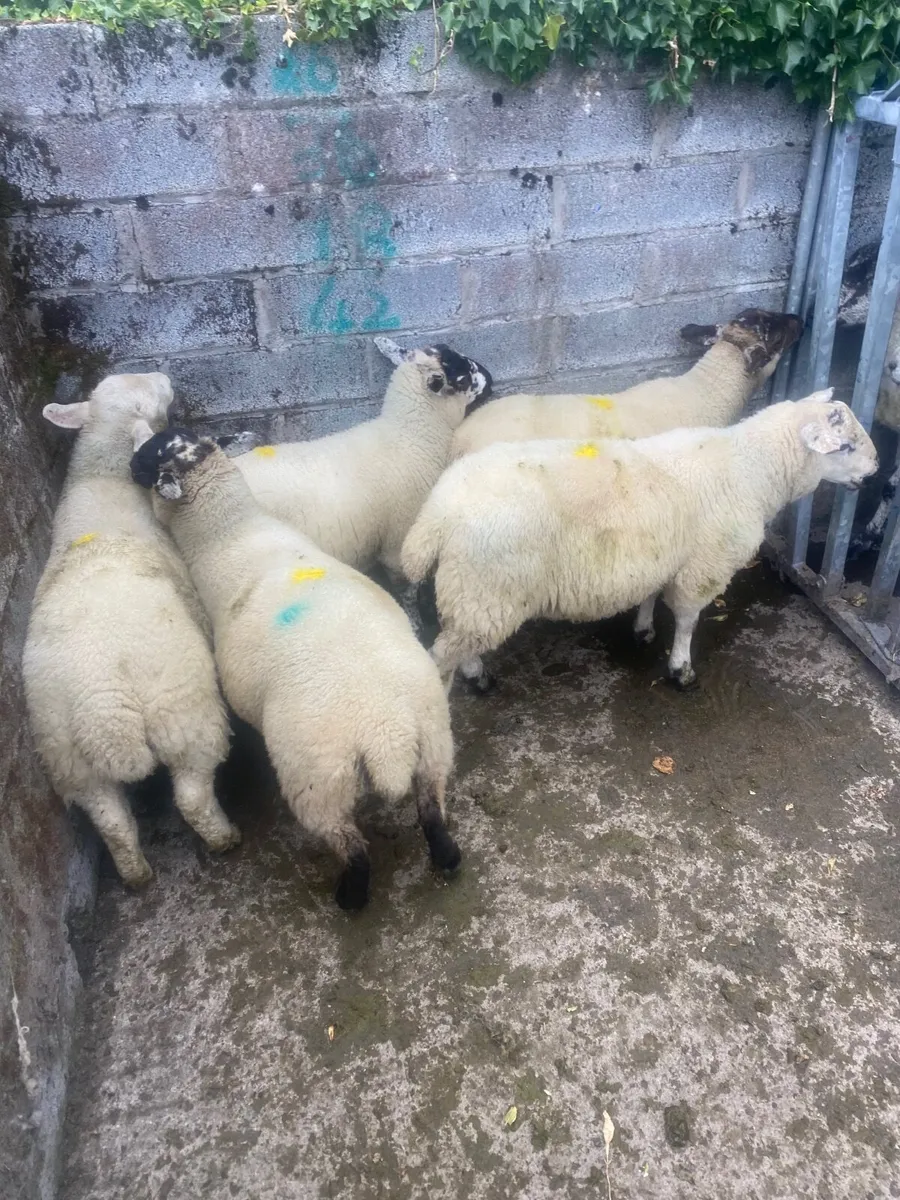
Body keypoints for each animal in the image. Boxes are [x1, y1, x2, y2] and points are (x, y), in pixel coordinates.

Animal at [22, 373, 238, 887]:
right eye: (147, 400)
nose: (165, 377)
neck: (102, 483)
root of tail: (104, 708)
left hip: (68, 756)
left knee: (112, 821)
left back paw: (136, 873)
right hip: (185, 720)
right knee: (192, 797)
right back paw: (225, 838)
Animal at [130, 426, 461, 911]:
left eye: (150, 455)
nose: (127, 465)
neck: (231, 532)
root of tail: (386, 735)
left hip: (318, 783)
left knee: (353, 847)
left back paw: (350, 898)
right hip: (434, 742)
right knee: (433, 813)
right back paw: (448, 860)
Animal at [228, 340, 492, 632]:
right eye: (463, 377)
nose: (491, 379)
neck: (411, 435)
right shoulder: (398, 540)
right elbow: (407, 590)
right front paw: (415, 624)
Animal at [401, 390, 877, 692]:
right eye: (845, 446)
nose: (875, 470)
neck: (752, 467)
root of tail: (436, 514)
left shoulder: (660, 554)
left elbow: (649, 594)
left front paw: (644, 629)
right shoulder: (704, 567)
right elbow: (687, 620)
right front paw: (681, 671)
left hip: (472, 592)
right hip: (484, 592)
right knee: (445, 653)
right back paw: (472, 683)